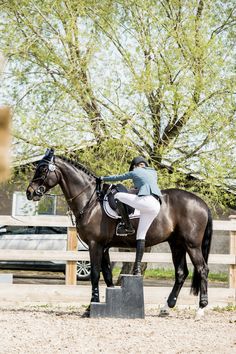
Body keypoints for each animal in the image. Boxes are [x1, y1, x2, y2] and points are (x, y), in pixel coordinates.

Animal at [25, 149, 212, 318]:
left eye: (43, 169)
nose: (30, 192)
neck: (91, 201)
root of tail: (202, 203)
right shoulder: (104, 247)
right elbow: (107, 275)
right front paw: (105, 303)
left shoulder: (95, 245)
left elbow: (95, 274)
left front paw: (91, 307)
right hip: (177, 245)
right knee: (181, 273)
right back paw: (166, 307)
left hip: (192, 245)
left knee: (202, 269)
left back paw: (201, 309)